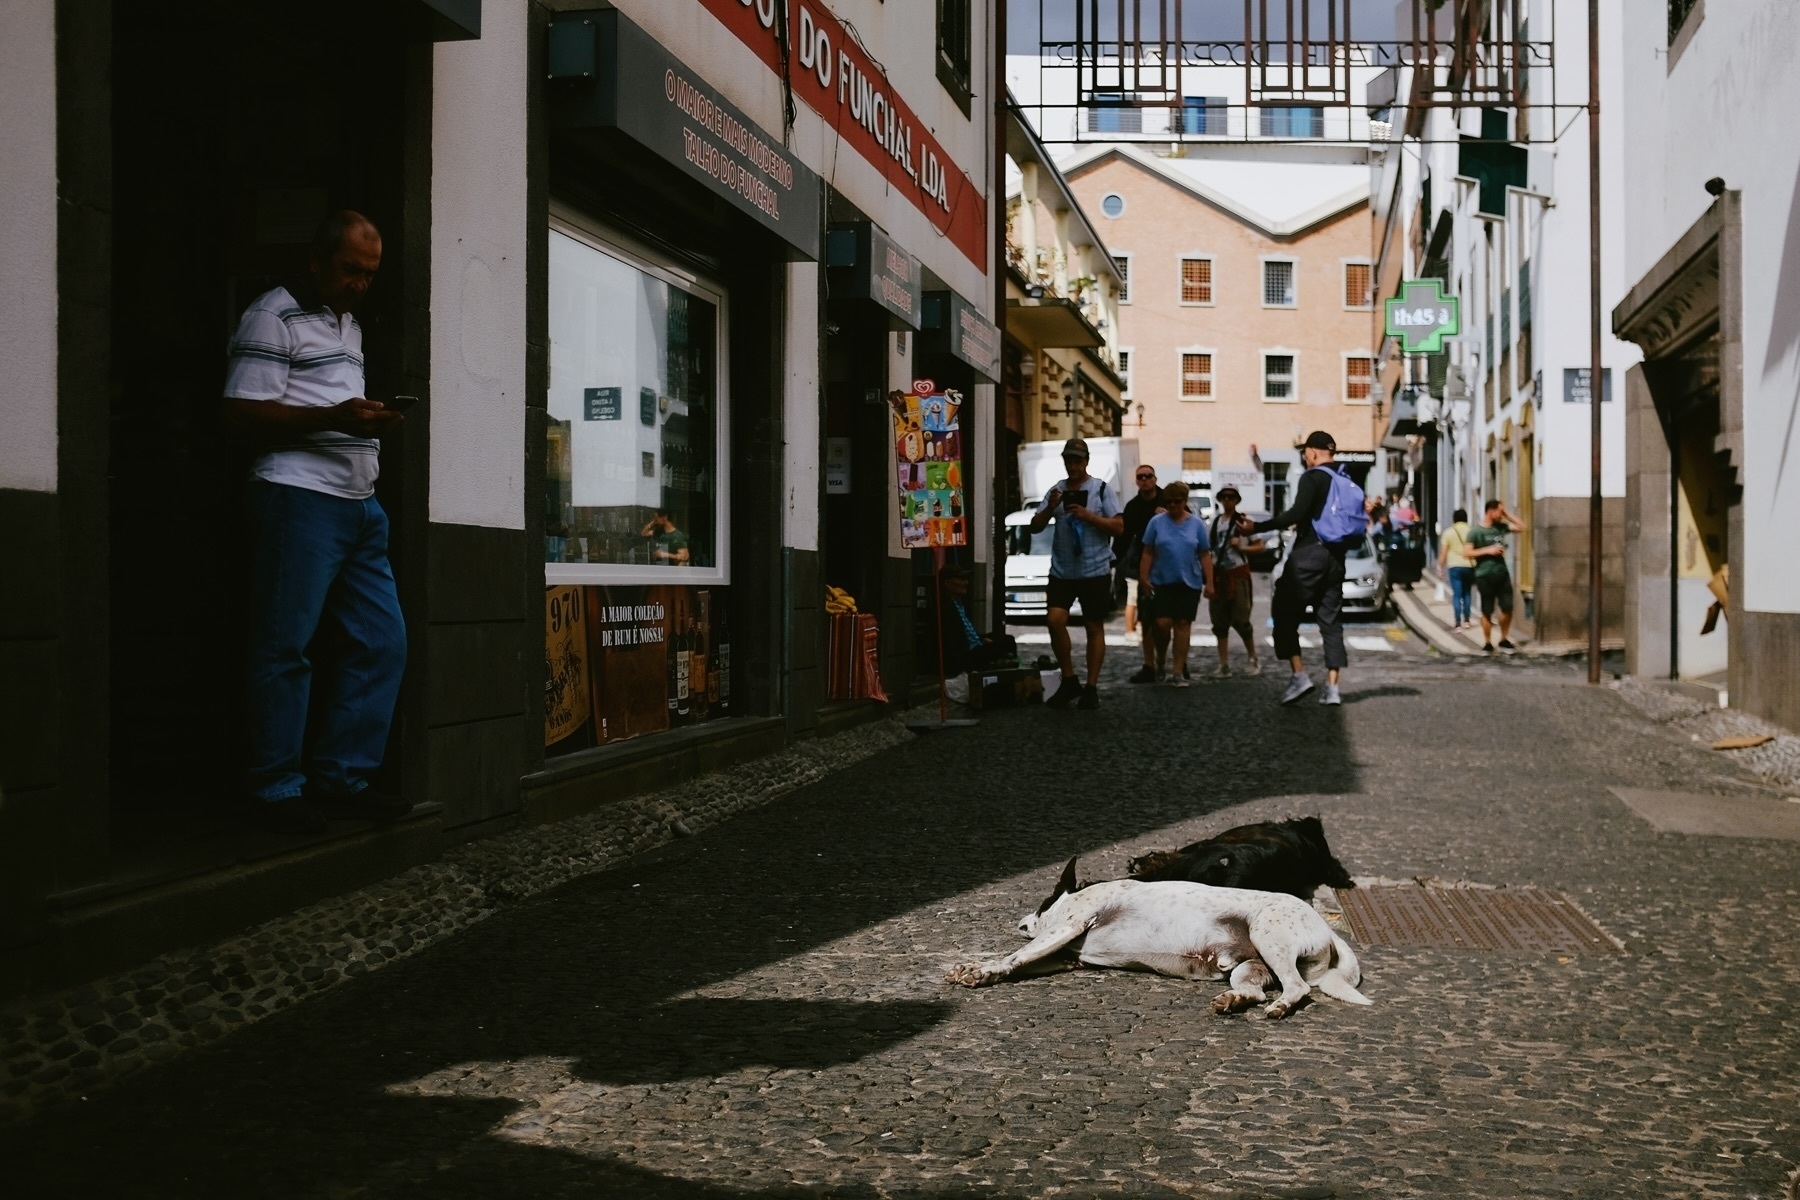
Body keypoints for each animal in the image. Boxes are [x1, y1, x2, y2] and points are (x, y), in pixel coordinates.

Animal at [950, 859, 1368, 1021]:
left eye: (1041, 903)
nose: (1019, 921)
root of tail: (1327, 928)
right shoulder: (1068, 956)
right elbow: (1023, 963)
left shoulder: (1068, 926)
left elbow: (1016, 955)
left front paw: (981, 969)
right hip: (1249, 966)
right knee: (1255, 990)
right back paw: (1233, 1001)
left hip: (1269, 937)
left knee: (1297, 989)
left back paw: (1280, 1006)